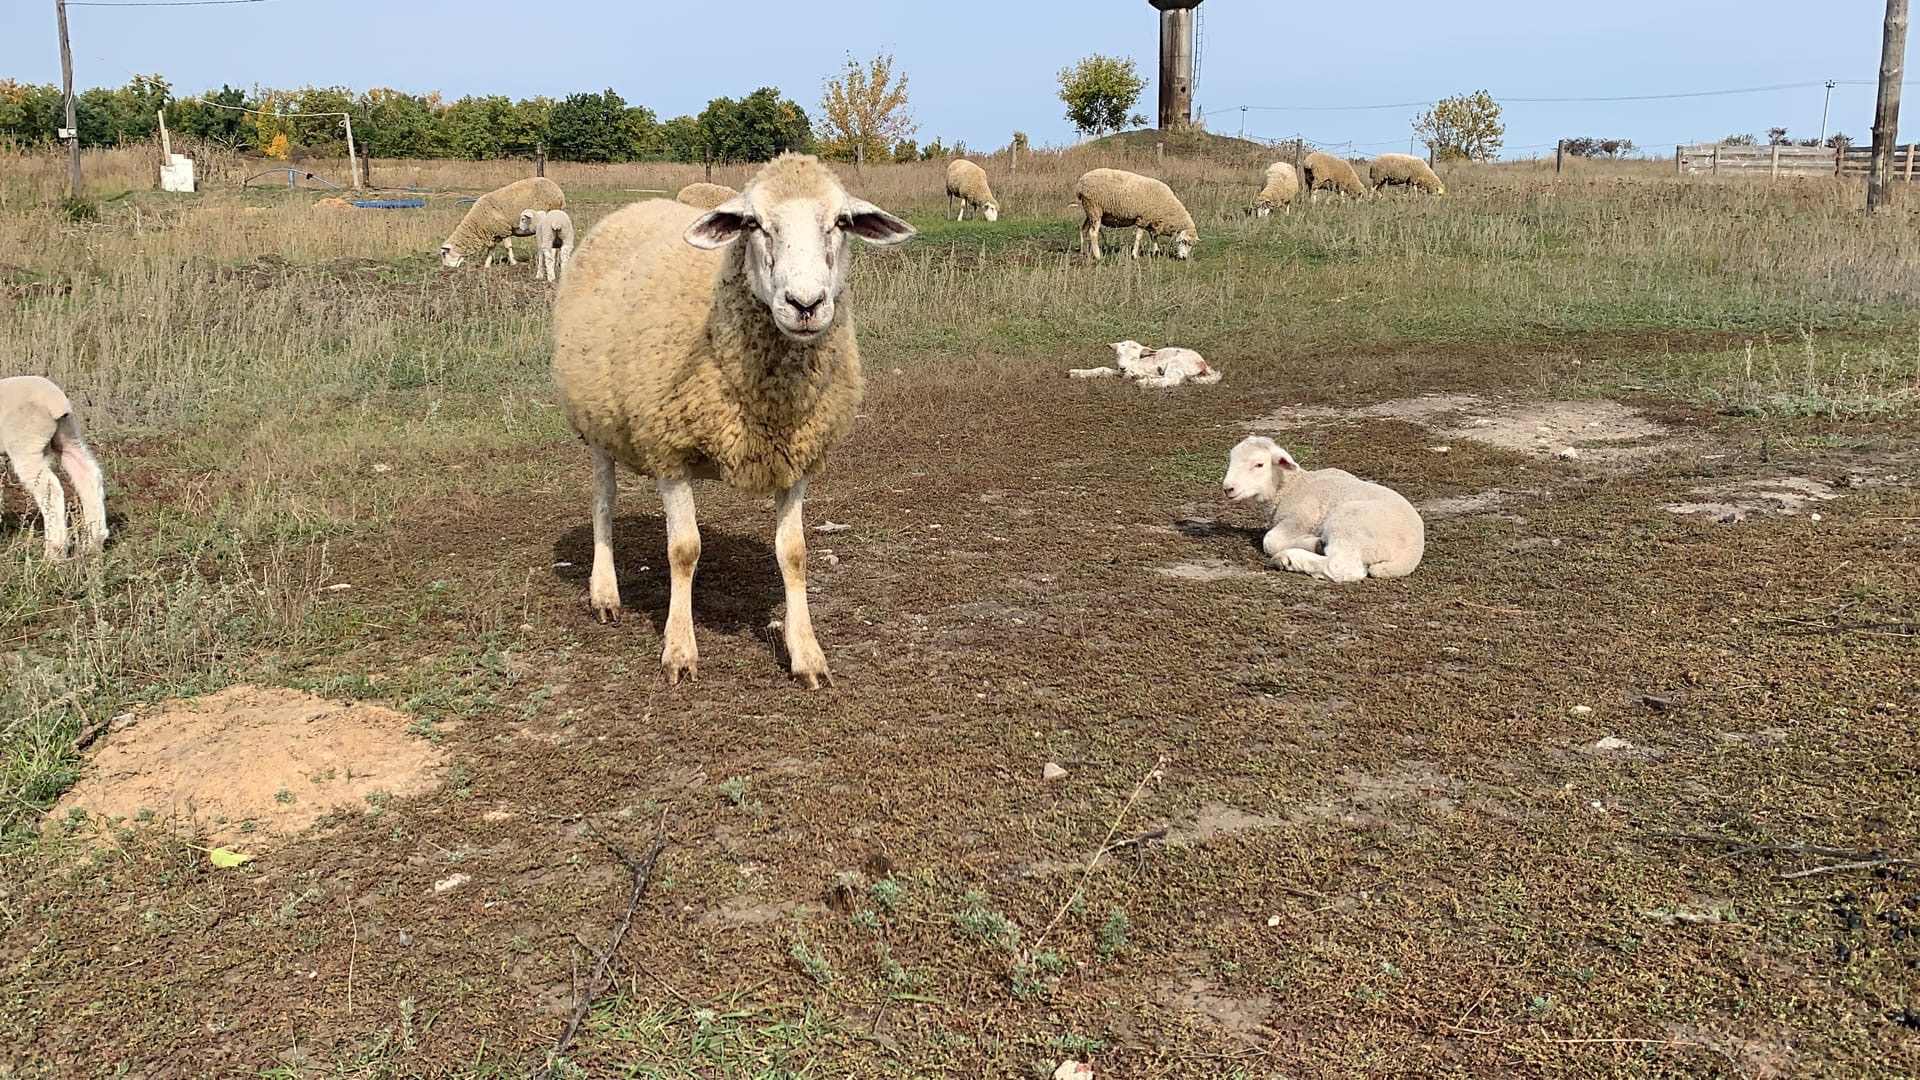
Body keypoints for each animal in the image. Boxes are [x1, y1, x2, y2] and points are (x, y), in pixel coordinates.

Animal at [0, 372, 108, 557]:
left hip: (26, 444)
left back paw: (55, 551)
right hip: (68, 435)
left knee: (50, 489)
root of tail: (55, 401)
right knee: (87, 474)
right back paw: (93, 543)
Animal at [552, 155, 917, 684]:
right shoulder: (669, 451)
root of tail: (634, 207)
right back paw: (604, 592)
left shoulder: (796, 457)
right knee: (603, 502)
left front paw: (806, 653)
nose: (805, 305)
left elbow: (794, 553)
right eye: (754, 224)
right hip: (597, 425)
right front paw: (679, 650)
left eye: (841, 222)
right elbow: (683, 551)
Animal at [1067, 338, 1213, 388]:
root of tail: (1203, 364)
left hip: (1176, 363)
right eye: (1118, 355)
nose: (1122, 367)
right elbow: (1103, 369)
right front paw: (1075, 372)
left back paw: (1142, 382)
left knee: (1172, 380)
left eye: (1133, 357)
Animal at [1221, 432, 1420, 580]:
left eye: (1259, 464)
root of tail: (1412, 551)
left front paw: (1310, 542)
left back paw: (1289, 559)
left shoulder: (1301, 517)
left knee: (1343, 567)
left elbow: (1270, 541)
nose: (1228, 488)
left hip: (1349, 523)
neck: (1291, 487)